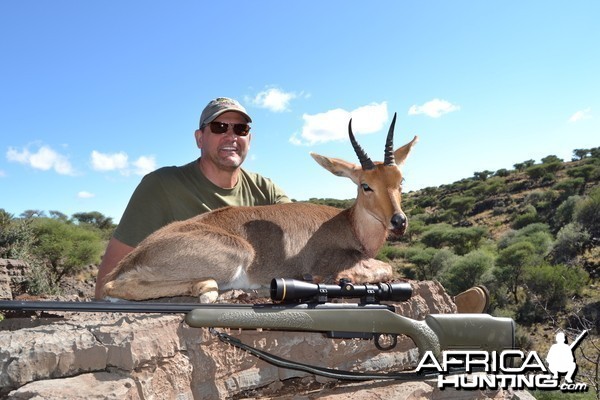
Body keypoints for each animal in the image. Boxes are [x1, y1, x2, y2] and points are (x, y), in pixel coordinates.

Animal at [102, 114, 418, 302]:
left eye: (400, 181)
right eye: (365, 185)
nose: (398, 221)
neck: (350, 224)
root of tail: (132, 258)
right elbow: (385, 267)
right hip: (238, 254)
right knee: (112, 288)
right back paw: (211, 290)